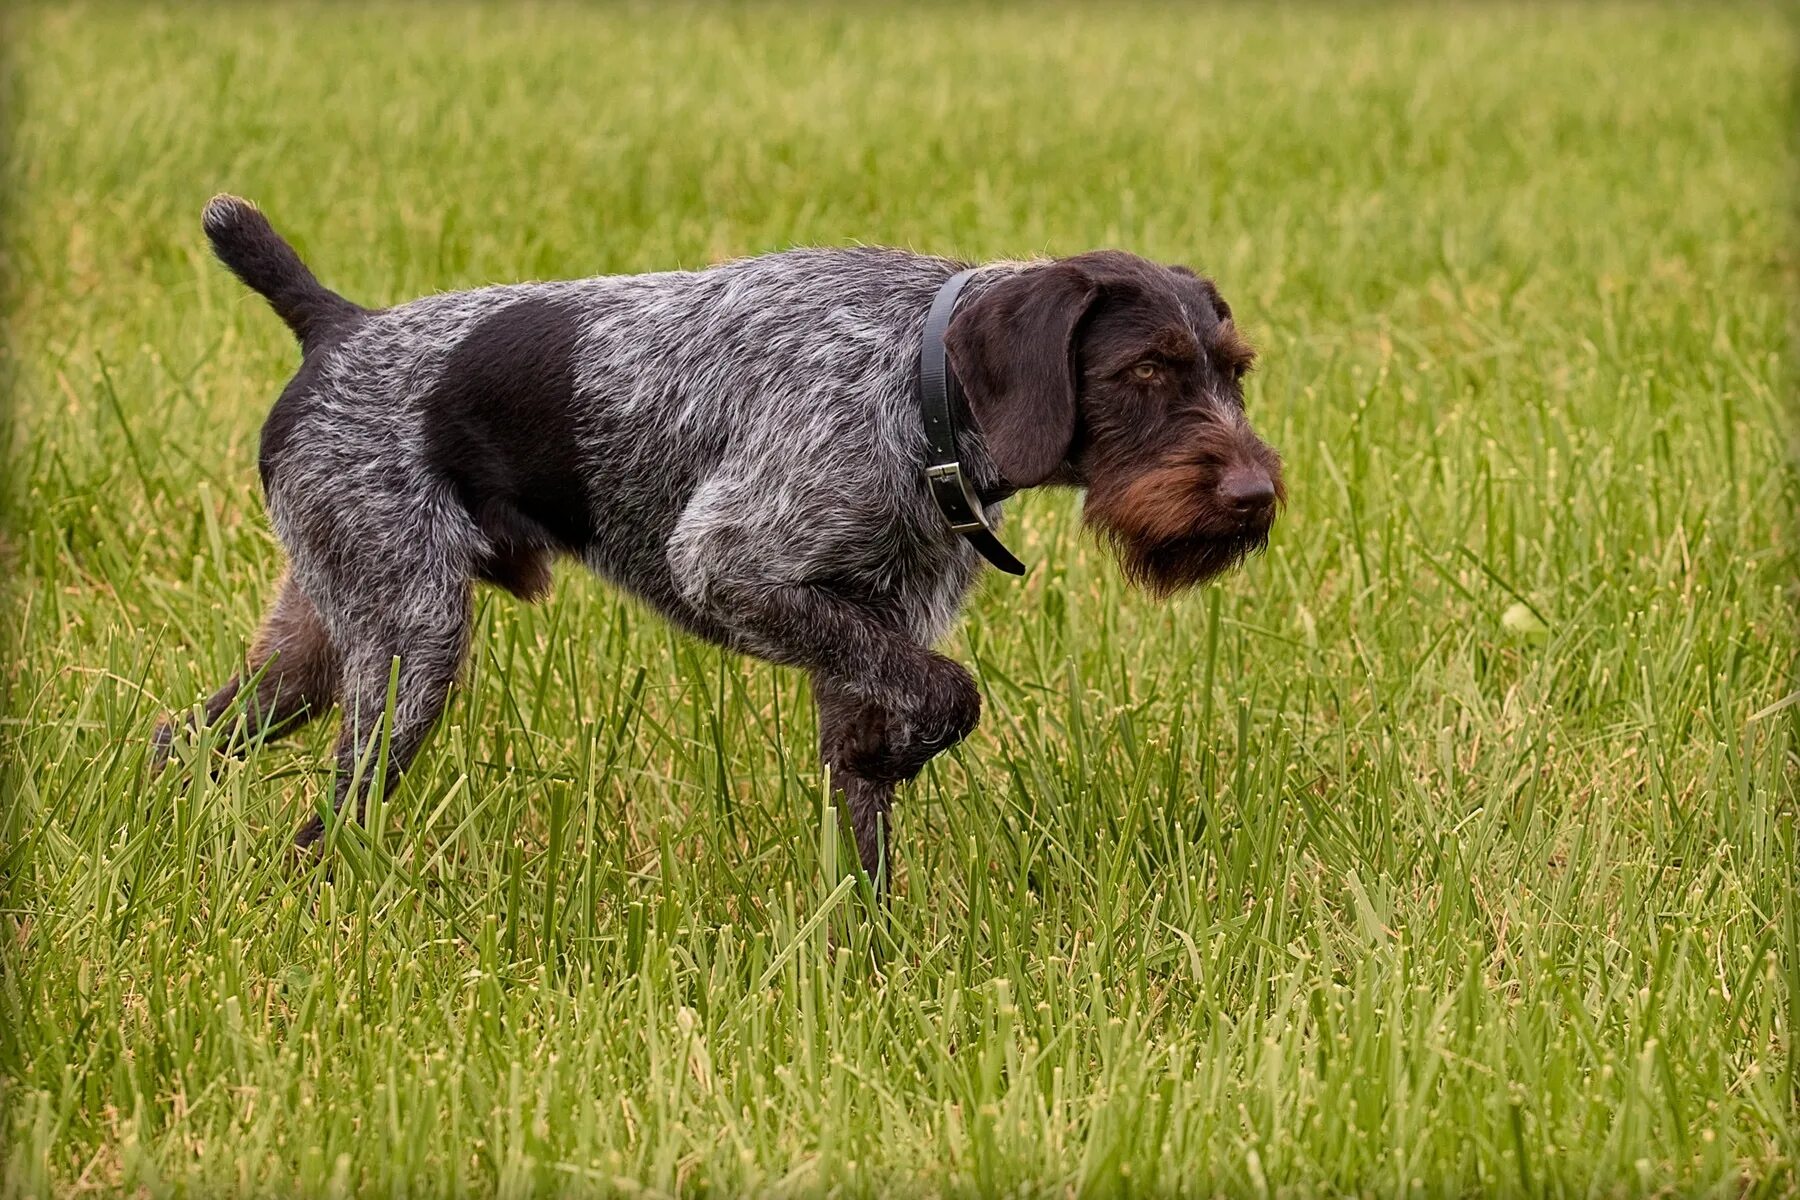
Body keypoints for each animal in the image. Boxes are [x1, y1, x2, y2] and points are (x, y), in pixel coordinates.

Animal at [154, 197, 1281, 888]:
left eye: (1234, 370)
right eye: (1144, 370)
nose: (1258, 496)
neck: (920, 388)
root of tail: (338, 326)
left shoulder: (868, 633)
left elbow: (866, 819)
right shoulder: (733, 568)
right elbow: (952, 696)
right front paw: (905, 754)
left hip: (321, 641)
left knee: (184, 739)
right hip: (408, 646)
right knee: (328, 815)